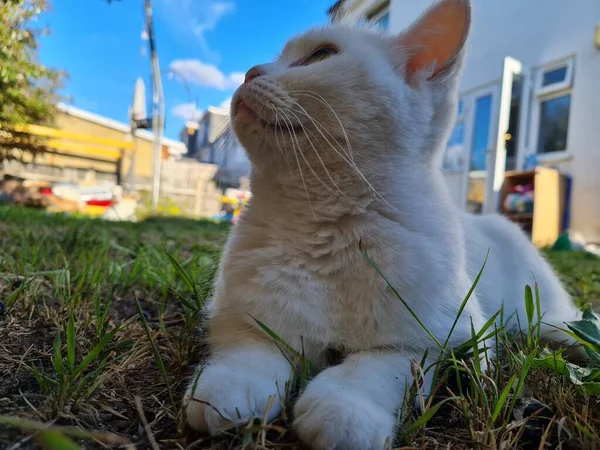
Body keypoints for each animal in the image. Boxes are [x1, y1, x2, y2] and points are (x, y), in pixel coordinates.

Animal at [186, 1, 580, 448]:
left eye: (321, 55)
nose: (250, 72)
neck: (322, 228)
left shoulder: (439, 339)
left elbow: (376, 369)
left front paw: (343, 409)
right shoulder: (243, 315)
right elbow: (250, 348)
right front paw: (231, 386)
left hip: (537, 307)